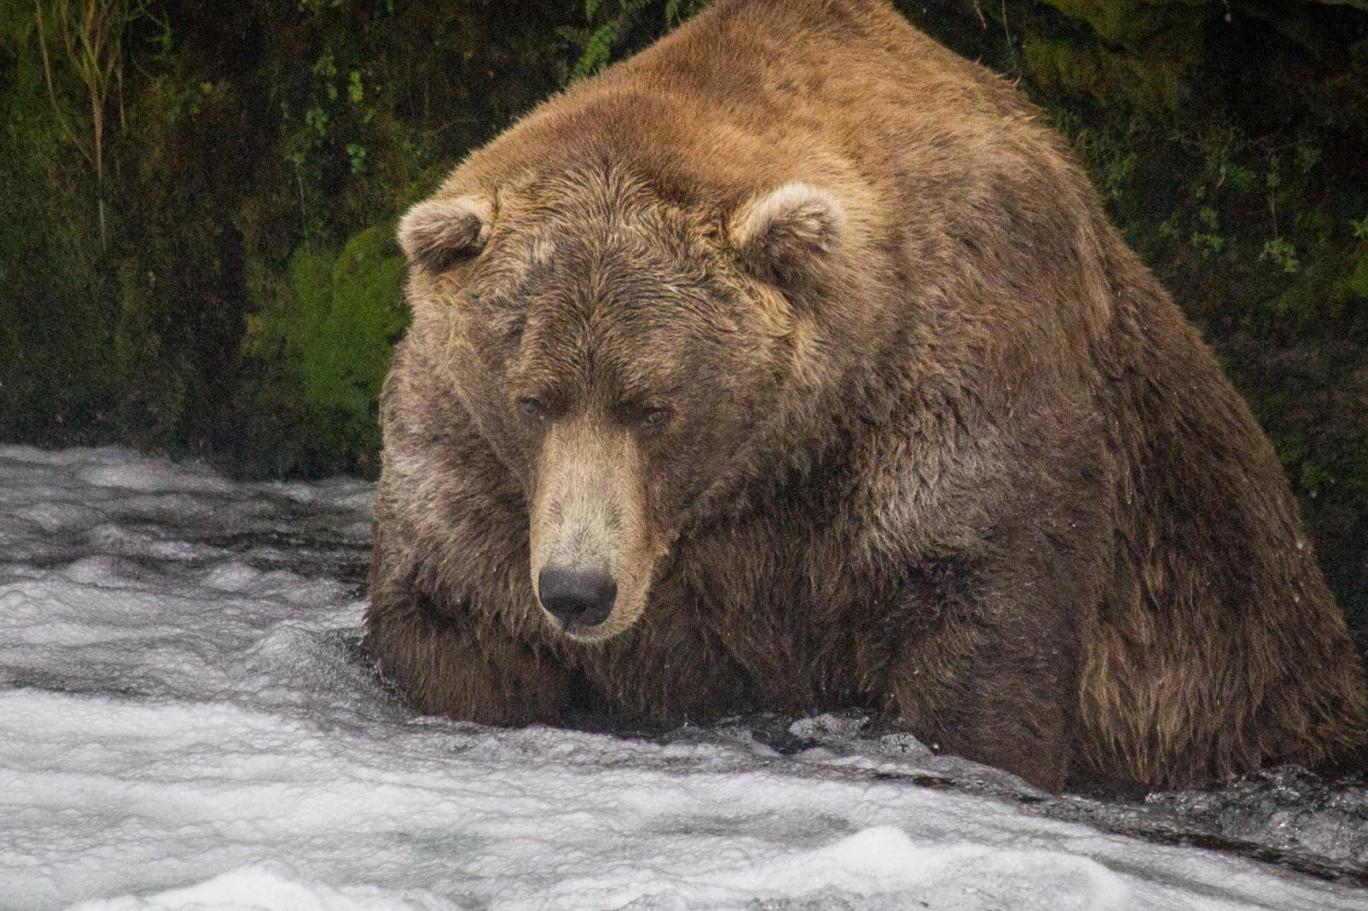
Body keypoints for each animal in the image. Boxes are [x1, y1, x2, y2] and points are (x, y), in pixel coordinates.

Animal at [363, 0, 1368, 787]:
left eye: (654, 404)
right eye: (532, 398)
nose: (578, 588)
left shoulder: (953, 389)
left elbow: (981, 631)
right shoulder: (468, 460)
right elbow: (451, 608)